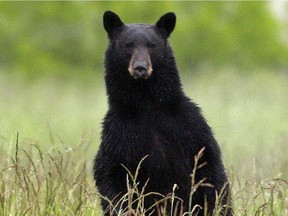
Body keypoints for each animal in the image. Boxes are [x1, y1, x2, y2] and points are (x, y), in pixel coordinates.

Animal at [94, 11, 232, 215]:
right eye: (128, 45)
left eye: (152, 45)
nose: (140, 68)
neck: (147, 104)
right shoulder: (118, 133)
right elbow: (110, 175)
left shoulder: (189, 124)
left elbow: (210, 168)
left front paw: (215, 206)